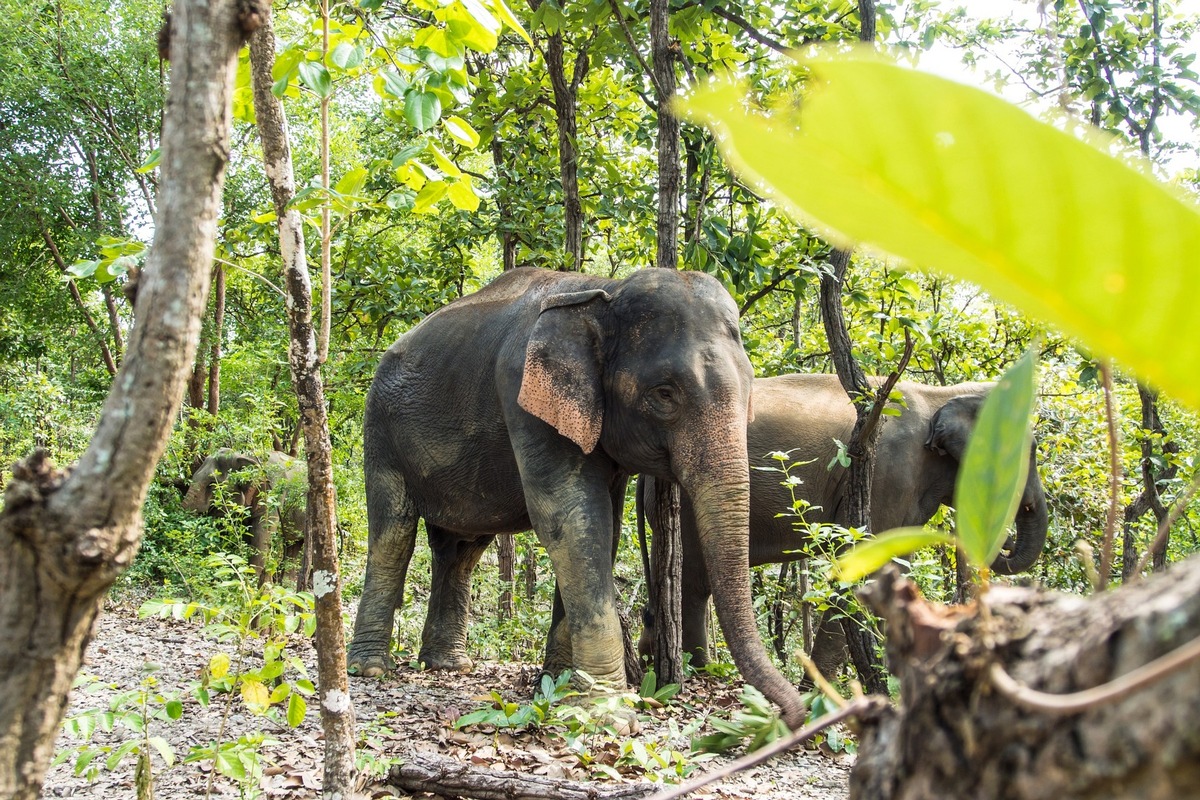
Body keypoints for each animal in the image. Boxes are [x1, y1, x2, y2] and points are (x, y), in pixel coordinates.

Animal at [182, 448, 307, 585]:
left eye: (212, 484)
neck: (245, 455)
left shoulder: (272, 492)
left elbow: (262, 534)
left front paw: (250, 582)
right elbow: (248, 535)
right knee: (293, 545)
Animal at [350, 263, 806, 734]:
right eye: (664, 394)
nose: (791, 717)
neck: (604, 290)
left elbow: (605, 526)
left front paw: (558, 686)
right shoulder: (524, 396)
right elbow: (573, 518)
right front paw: (606, 712)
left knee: (461, 549)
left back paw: (448, 666)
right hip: (380, 428)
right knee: (394, 532)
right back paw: (369, 669)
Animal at [643, 376, 1046, 671]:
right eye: (1030, 451)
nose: (1007, 541)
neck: (941, 394)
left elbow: (893, 569)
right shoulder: (887, 472)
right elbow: (862, 564)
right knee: (694, 582)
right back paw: (700, 670)